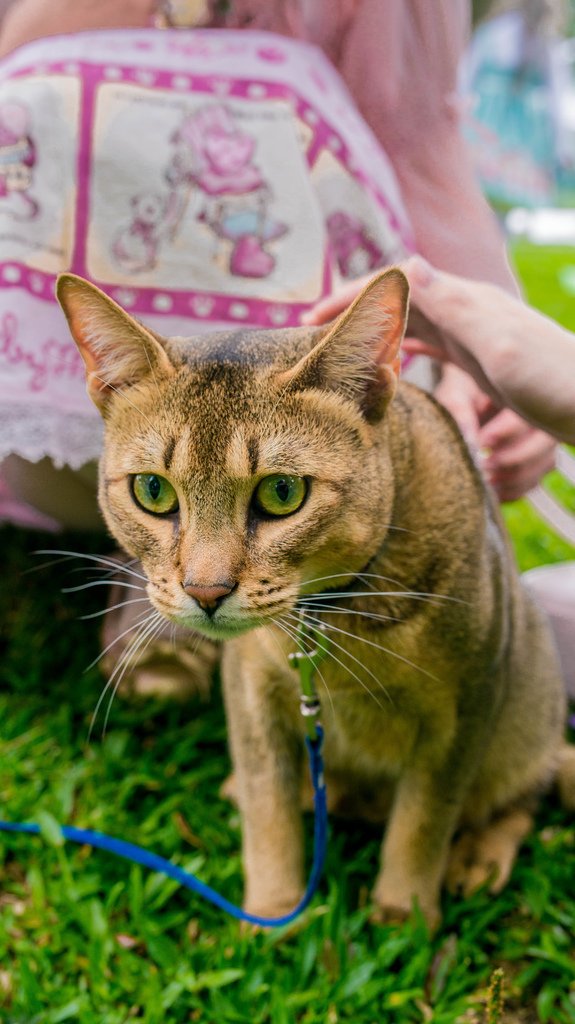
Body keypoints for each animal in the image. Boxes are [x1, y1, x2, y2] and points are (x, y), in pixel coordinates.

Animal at [56, 270, 564, 929]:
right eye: (152, 490)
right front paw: (273, 914)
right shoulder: (251, 684)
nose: (205, 591)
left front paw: (404, 916)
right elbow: (267, 804)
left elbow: (424, 819)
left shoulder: (467, 699)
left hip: (531, 699)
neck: (329, 622)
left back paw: (480, 855)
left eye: (282, 492)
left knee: (526, 789)